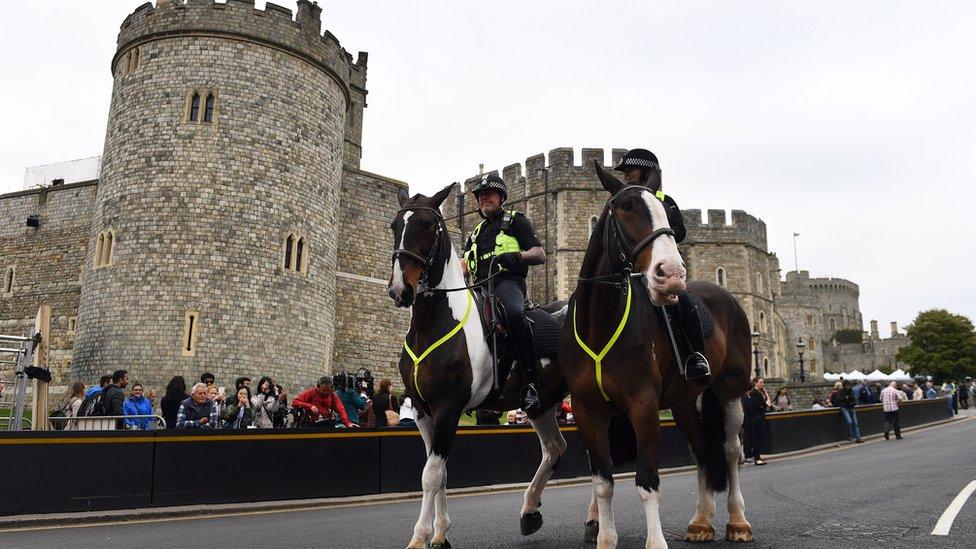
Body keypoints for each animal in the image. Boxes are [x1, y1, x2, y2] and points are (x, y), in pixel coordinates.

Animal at [388, 184, 572, 548]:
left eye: (427, 225)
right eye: (394, 226)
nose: (400, 289)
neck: (436, 323)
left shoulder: (448, 407)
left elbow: (431, 475)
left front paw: (420, 537)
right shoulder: (422, 410)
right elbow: (439, 473)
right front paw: (440, 533)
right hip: (543, 405)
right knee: (555, 448)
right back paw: (531, 511)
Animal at [556, 163, 756, 548]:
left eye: (668, 212)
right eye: (626, 206)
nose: (672, 275)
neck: (600, 320)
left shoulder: (643, 404)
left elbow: (647, 482)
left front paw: (656, 542)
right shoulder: (588, 409)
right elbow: (603, 483)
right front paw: (605, 539)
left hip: (731, 391)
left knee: (730, 449)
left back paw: (738, 521)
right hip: (684, 401)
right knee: (702, 450)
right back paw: (701, 522)